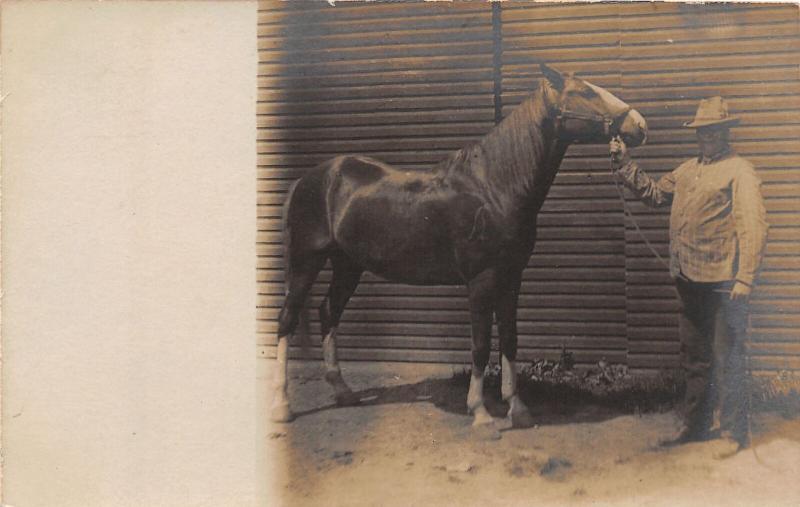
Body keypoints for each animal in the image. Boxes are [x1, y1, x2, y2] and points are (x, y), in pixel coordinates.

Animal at [272, 61, 648, 430]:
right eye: (586, 91)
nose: (640, 125)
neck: (493, 188)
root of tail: (308, 179)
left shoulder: (512, 277)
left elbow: (509, 339)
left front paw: (517, 408)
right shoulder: (481, 279)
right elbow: (480, 344)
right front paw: (480, 412)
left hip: (348, 265)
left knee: (328, 312)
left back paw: (343, 392)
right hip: (306, 261)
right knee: (287, 319)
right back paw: (283, 406)